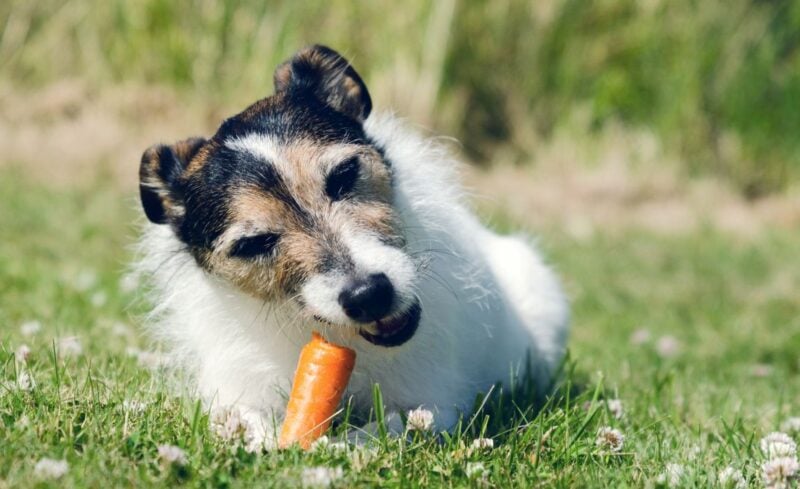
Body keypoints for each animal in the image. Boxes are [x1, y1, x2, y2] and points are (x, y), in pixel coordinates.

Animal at [136, 44, 568, 446]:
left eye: (344, 175)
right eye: (254, 243)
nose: (369, 295)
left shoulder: (434, 403)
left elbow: (388, 428)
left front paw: (338, 447)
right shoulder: (236, 391)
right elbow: (241, 418)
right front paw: (266, 441)